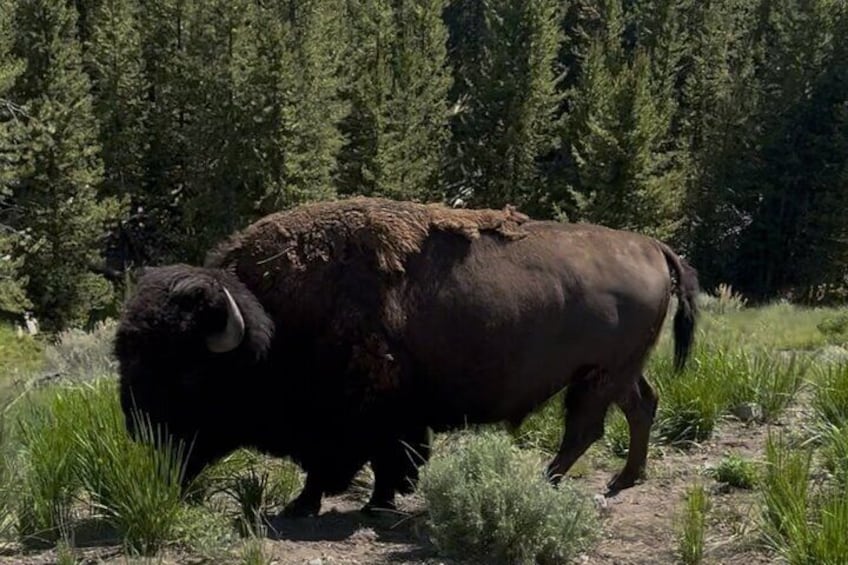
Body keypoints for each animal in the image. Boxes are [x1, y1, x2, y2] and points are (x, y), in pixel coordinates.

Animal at [114, 196, 699, 517]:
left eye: (188, 371)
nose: (138, 427)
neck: (276, 320)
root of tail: (652, 245)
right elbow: (385, 462)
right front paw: (375, 501)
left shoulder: (363, 417)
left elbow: (355, 463)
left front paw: (315, 505)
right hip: (620, 371)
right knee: (640, 407)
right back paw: (623, 479)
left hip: (599, 375)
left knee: (586, 427)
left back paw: (549, 480)